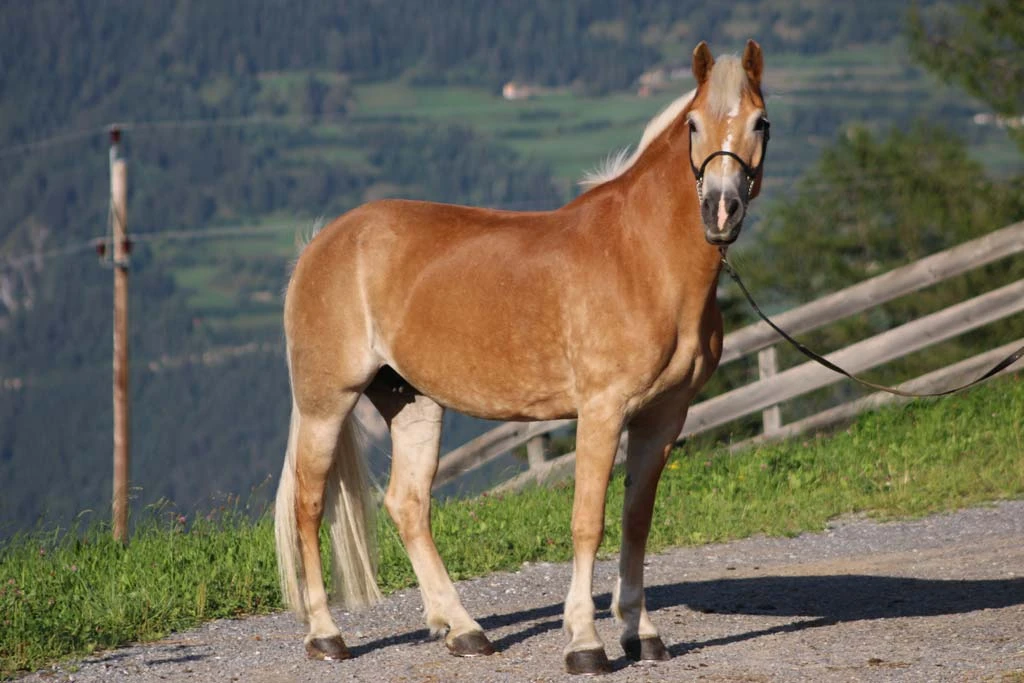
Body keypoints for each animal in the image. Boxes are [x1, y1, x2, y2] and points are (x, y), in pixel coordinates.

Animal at [274, 39, 769, 675]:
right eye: (693, 124)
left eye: (760, 122)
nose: (722, 210)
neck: (643, 258)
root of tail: (320, 244)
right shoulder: (602, 411)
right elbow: (588, 522)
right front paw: (585, 643)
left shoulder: (663, 417)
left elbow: (636, 522)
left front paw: (642, 634)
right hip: (326, 403)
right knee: (309, 505)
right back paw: (326, 635)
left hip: (413, 401)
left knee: (407, 504)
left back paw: (463, 630)